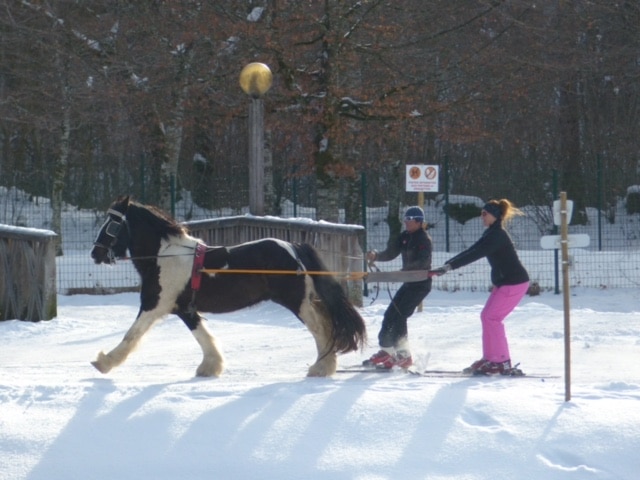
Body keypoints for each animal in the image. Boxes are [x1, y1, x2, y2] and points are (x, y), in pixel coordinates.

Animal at [92, 195, 368, 378]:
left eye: (112, 223)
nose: (96, 254)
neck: (164, 257)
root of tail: (294, 247)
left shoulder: (154, 305)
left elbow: (131, 335)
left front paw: (104, 362)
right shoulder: (185, 309)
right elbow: (203, 336)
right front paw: (210, 367)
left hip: (297, 302)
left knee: (320, 329)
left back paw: (320, 368)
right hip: (307, 300)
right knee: (328, 325)